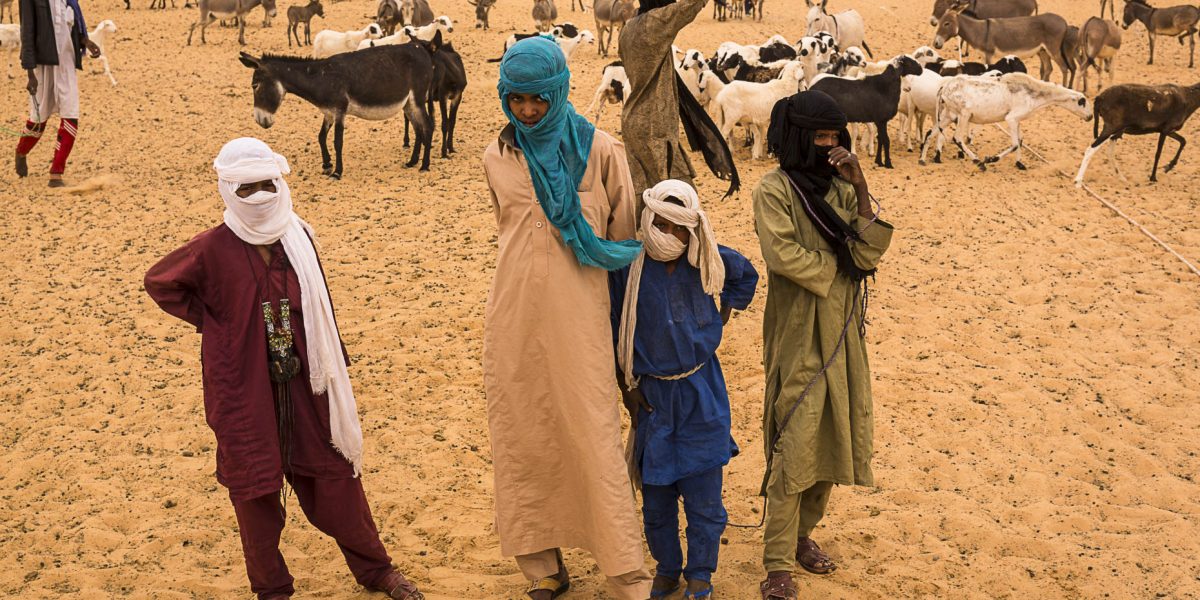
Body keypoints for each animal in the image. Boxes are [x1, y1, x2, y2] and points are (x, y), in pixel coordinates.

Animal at [921, 74, 1094, 171]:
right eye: (1082, 102)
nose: (1091, 116)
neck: (1034, 92)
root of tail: (944, 87)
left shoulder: (1017, 121)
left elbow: (1021, 141)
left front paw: (1020, 164)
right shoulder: (1011, 119)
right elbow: (1015, 144)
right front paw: (990, 160)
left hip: (948, 116)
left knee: (929, 133)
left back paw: (922, 160)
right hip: (963, 115)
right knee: (957, 138)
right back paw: (977, 160)